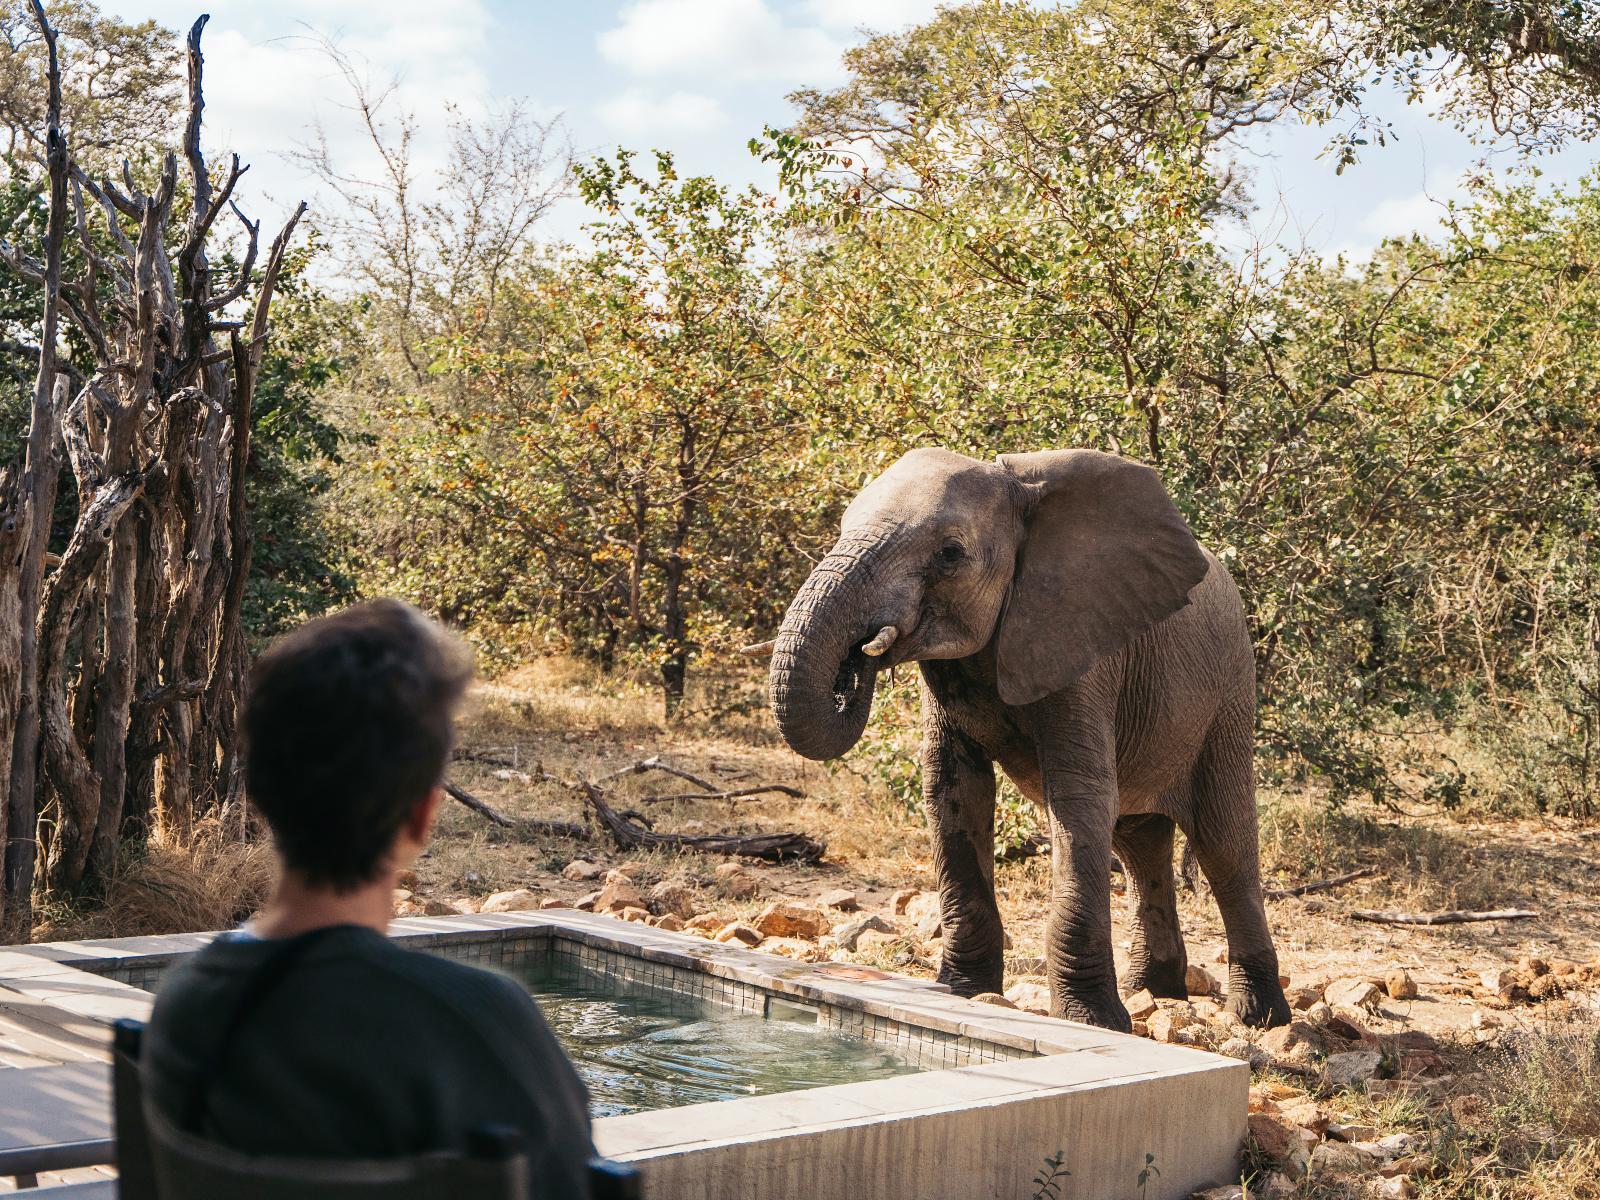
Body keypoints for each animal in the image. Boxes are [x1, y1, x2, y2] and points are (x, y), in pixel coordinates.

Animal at [764, 451, 1299, 1036]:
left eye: (950, 554)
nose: (860, 656)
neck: (1021, 491)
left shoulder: (1083, 645)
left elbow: (1079, 796)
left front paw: (1094, 1022)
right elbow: (952, 789)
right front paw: (962, 992)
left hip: (1229, 693)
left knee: (1224, 841)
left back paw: (1259, 1018)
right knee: (1138, 842)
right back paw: (1154, 991)